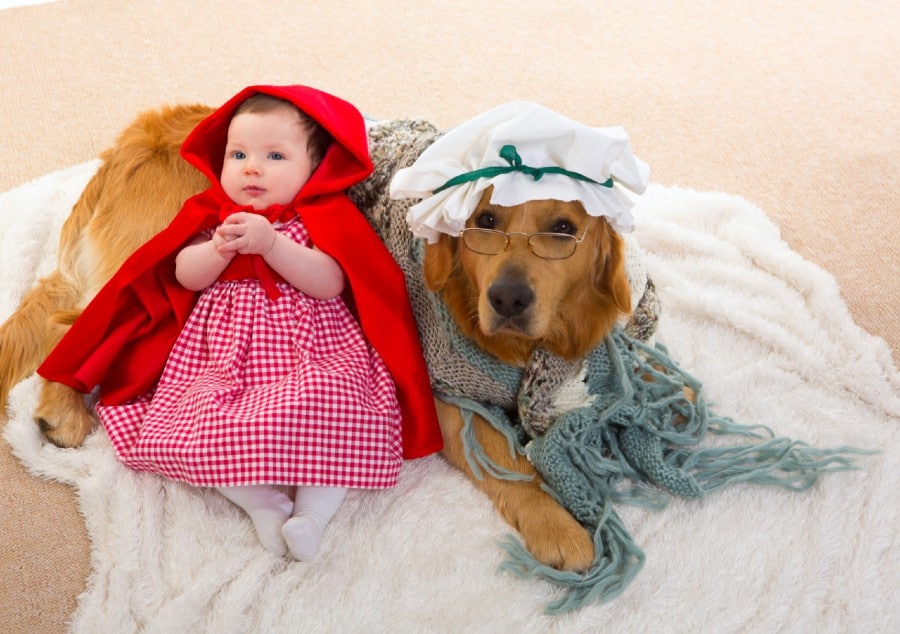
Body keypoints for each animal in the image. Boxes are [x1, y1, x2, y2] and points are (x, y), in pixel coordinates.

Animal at [0, 102, 632, 568]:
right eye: (485, 222)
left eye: (563, 229)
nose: (508, 299)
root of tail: (129, 142)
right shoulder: (440, 391)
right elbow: (506, 458)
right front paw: (560, 527)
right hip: (150, 265)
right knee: (75, 325)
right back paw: (62, 409)